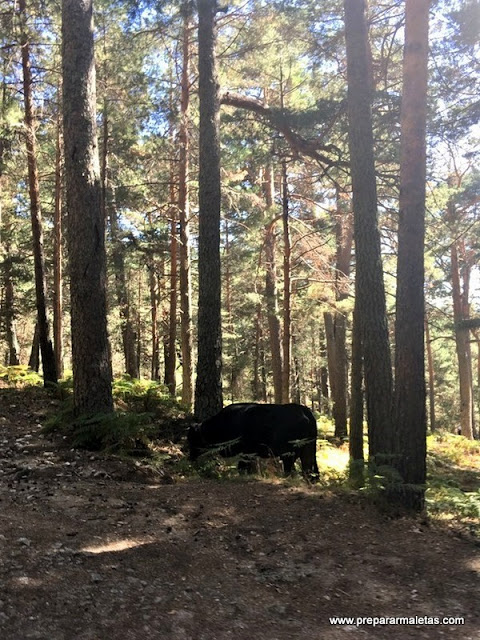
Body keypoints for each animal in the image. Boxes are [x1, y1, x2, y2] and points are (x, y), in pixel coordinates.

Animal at [188, 404, 318, 480]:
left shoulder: (246, 450)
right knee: (307, 467)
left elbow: (242, 466)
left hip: (290, 451)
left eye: (192, 438)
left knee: (291, 467)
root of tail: (306, 412)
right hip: (308, 448)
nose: (190, 457)